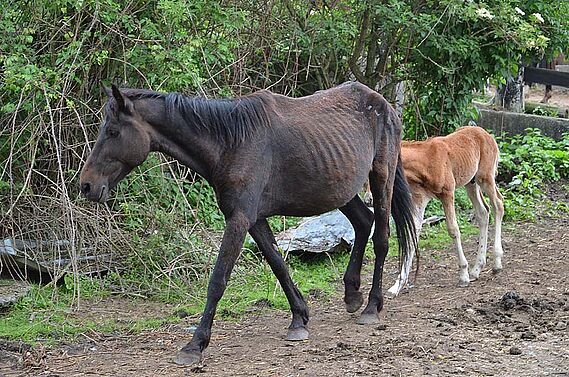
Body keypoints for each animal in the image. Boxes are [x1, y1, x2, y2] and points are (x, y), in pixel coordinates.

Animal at [80, 82, 414, 364]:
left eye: (112, 132)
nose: (86, 185)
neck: (231, 143)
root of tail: (383, 103)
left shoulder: (239, 220)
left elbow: (218, 280)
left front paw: (195, 344)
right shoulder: (254, 220)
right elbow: (278, 264)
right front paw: (299, 319)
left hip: (381, 178)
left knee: (382, 238)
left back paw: (371, 307)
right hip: (339, 189)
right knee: (363, 222)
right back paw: (352, 294)